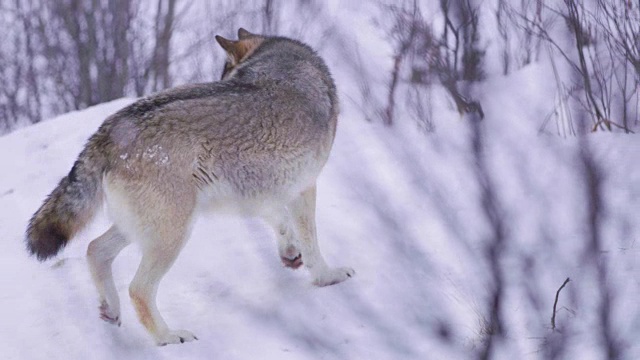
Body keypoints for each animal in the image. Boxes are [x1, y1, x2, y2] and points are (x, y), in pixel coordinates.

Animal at [26, 28, 356, 346]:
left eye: (225, 77)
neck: (288, 64)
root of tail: (107, 132)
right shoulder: (303, 187)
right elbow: (311, 241)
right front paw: (328, 276)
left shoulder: (261, 191)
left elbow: (282, 223)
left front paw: (290, 254)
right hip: (174, 233)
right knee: (137, 288)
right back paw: (169, 337)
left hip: (145, 228)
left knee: (95, 250)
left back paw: (111, 310)